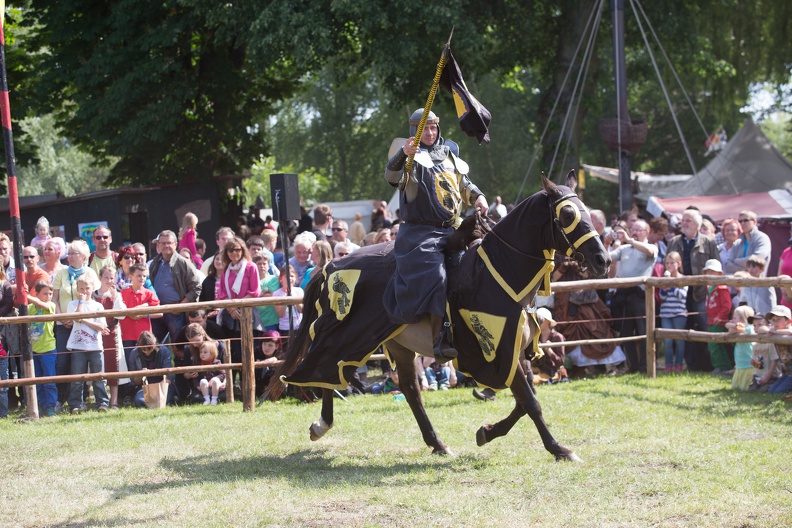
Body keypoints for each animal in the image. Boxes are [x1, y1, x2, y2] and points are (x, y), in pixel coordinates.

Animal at [270, 172, 608, 458]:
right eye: (567, 215)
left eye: (588, 211)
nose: (602, 259)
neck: (500, 272)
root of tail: (331, 266)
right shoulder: (495, 353)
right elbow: (531, 402)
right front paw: (559, 449)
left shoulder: (513, 353)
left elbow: (524, 402)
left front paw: (486, 432)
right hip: (346, 332)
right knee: (326, 366)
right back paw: (322, 425)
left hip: (396, 343)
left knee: (409, 390)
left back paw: (437, 443)